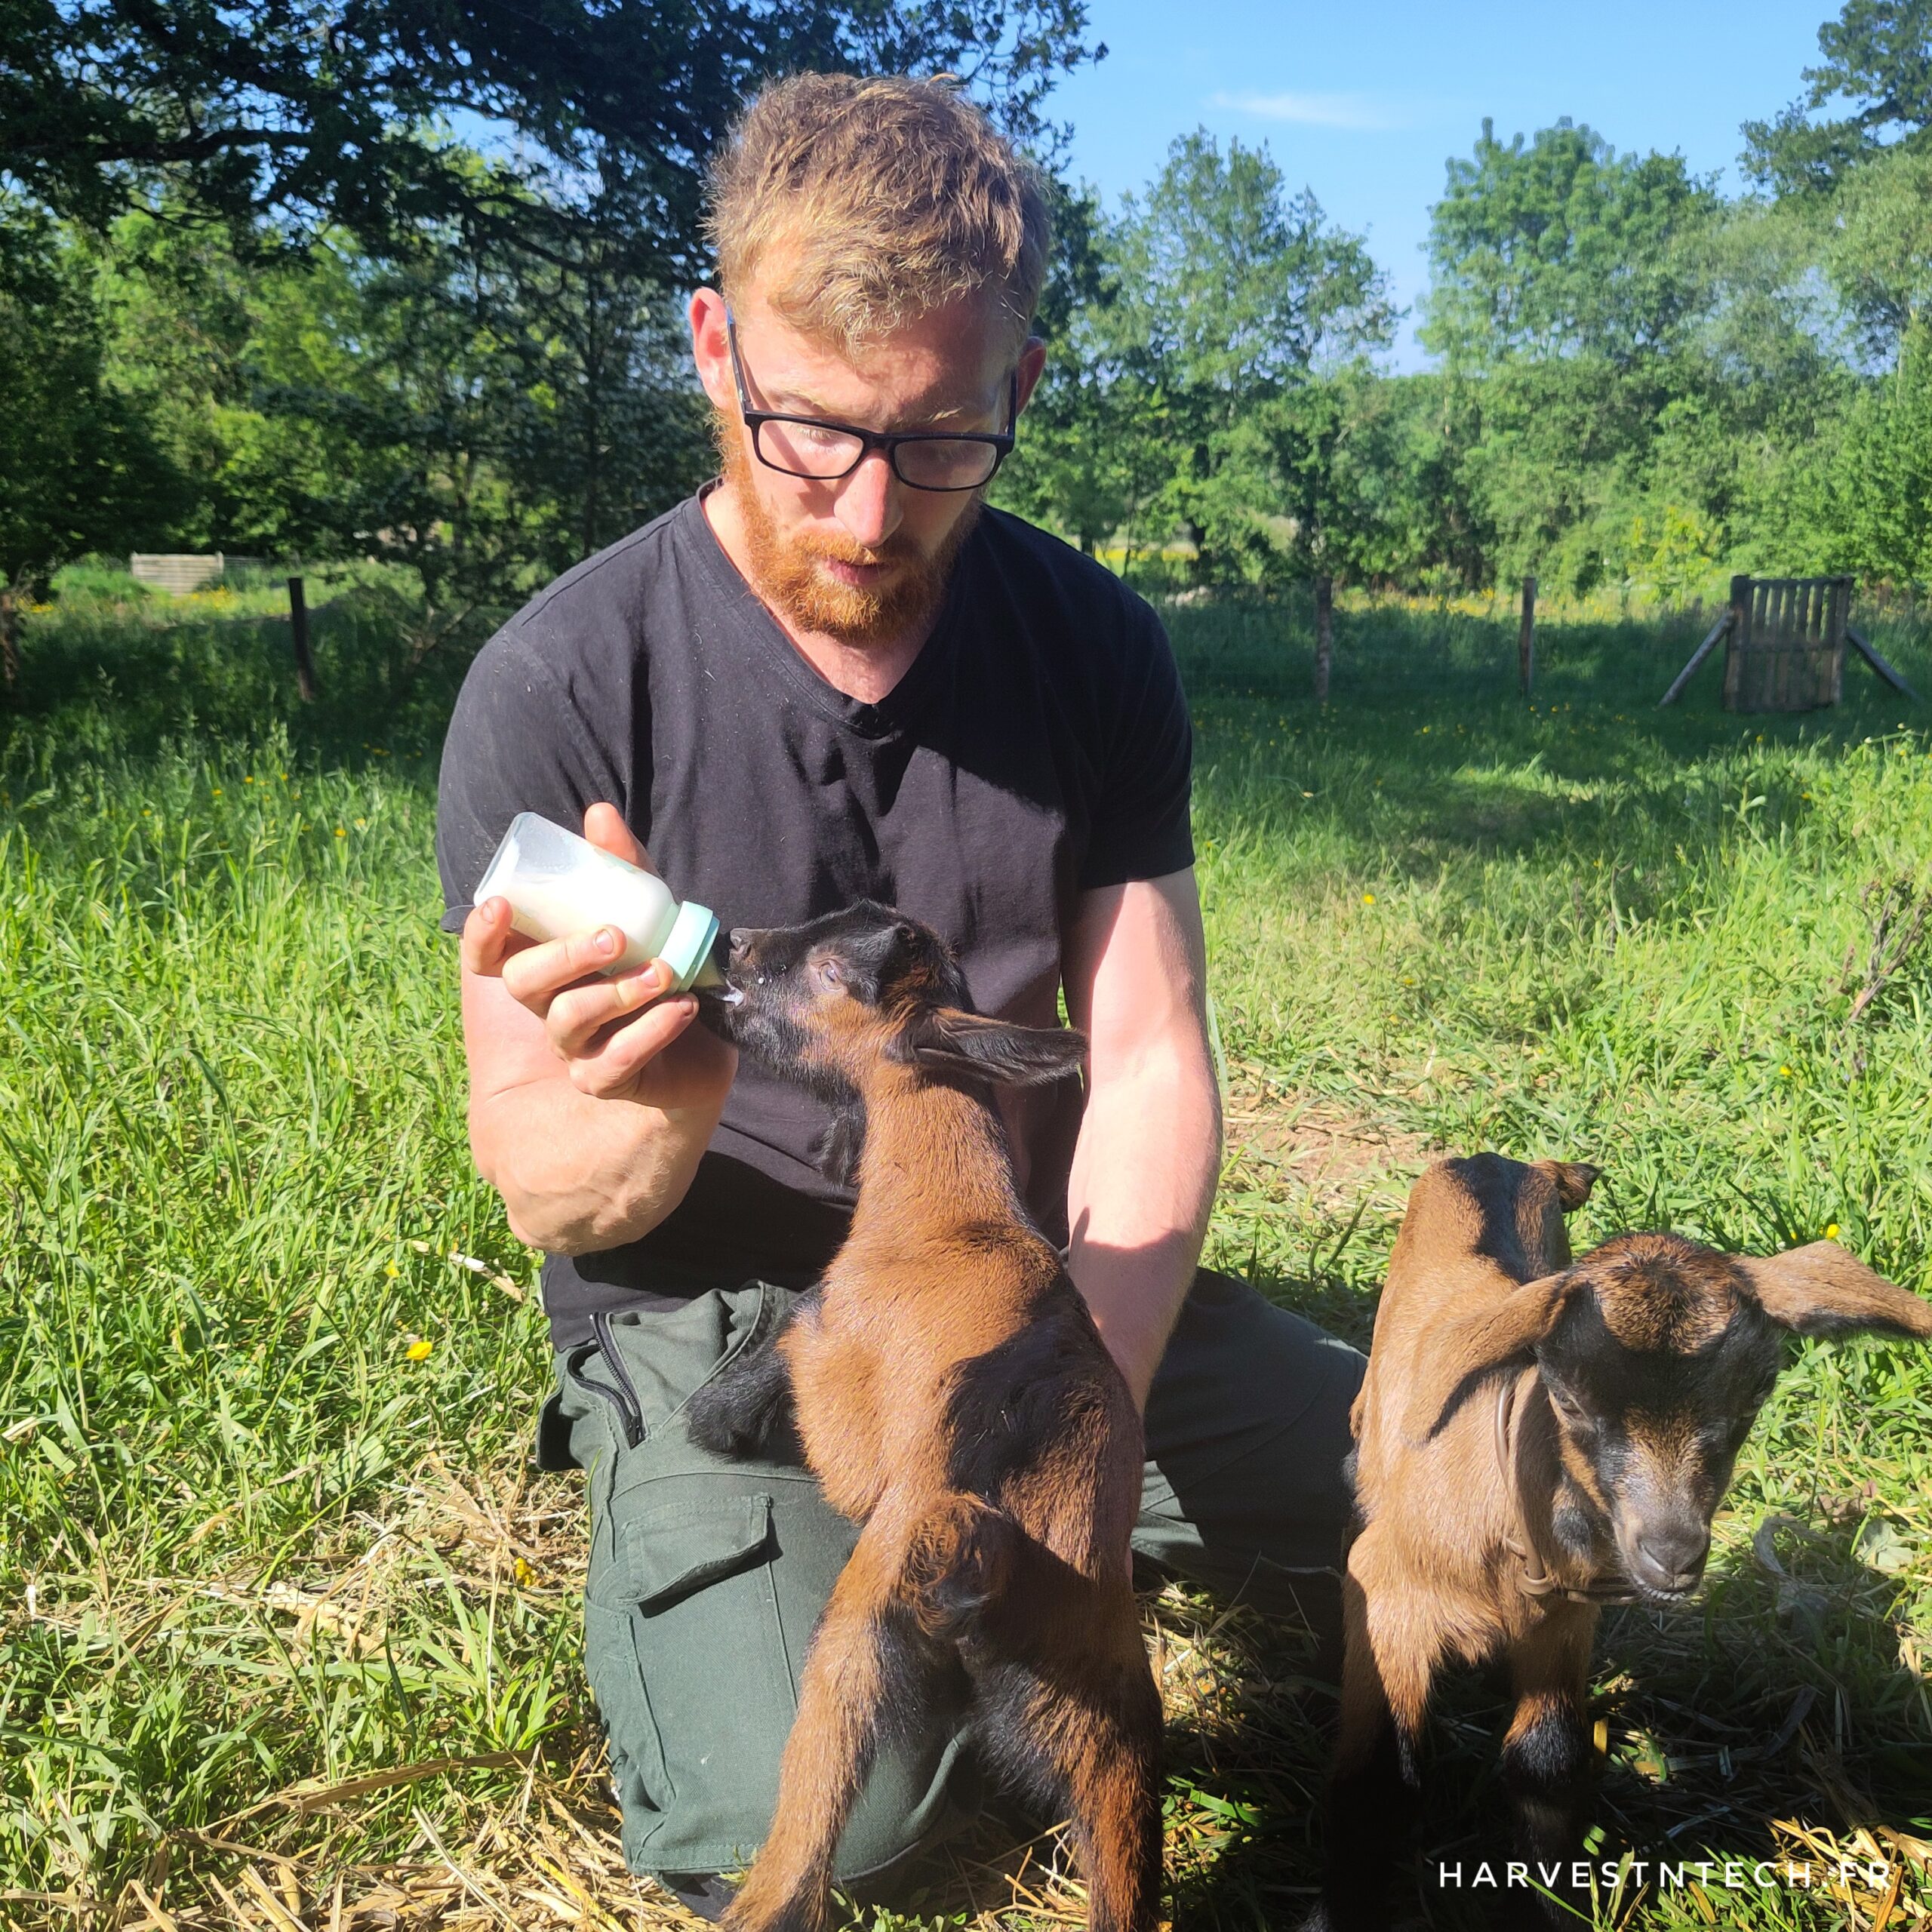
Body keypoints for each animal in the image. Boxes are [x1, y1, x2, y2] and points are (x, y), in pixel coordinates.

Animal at [684, 904, 1151, 1932]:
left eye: (825, 968)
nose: (734, 942)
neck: (952, 1212)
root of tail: (995, 1550)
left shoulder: (832, 1349)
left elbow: (787, 1330)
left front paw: (712, 1415)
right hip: (1105, 1724)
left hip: (860, 1627)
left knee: (802, 1846)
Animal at [1313, 1151, 1932, 1924]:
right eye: (1568, 1398)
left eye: (1754, 1398)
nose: (1672, 1554)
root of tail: (1494, 1159)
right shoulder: (1393, 1600)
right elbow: (1378, 1780)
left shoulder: (1563, 1616)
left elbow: (1546, 1759)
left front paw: (1554, 1904)